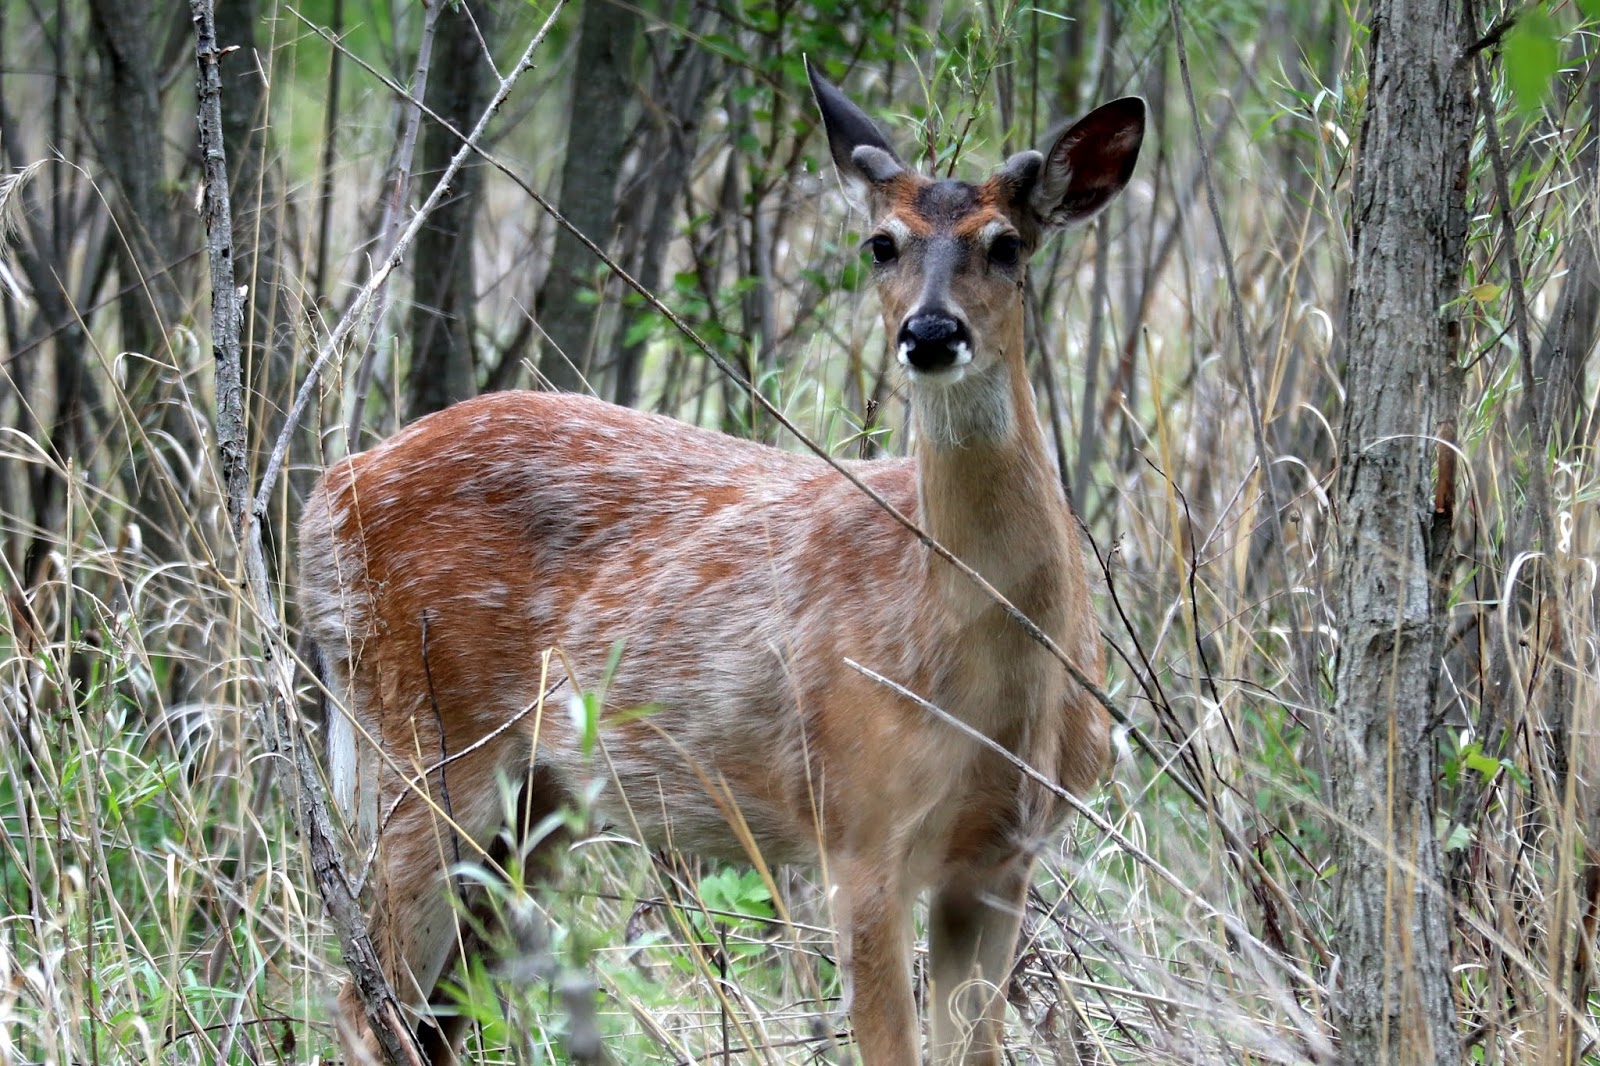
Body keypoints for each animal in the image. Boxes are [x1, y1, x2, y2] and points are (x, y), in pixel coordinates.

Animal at [297, 65, 1142, 1065]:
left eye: (1007, 245)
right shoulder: (858, 828)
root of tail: (329, 493)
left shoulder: (1001, 858)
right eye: (881, 243)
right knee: (362, 1003)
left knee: (437, 1014)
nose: (931, 333)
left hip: (536, 801)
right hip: (420, 745)